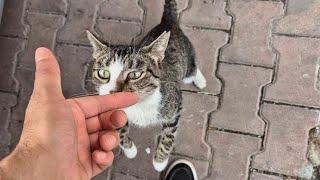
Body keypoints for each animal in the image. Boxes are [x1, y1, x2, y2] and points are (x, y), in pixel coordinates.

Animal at [85, 0, 205, 172]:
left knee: (193, 68)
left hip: (187, 64)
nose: (114, 93)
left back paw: (200, 80)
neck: (139, 107)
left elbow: (168, 136)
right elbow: (119, 130)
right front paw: (130, 150)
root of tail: (168, 22)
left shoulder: (175, 107)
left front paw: (160, 162)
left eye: (135, 75)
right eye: (103, 73)